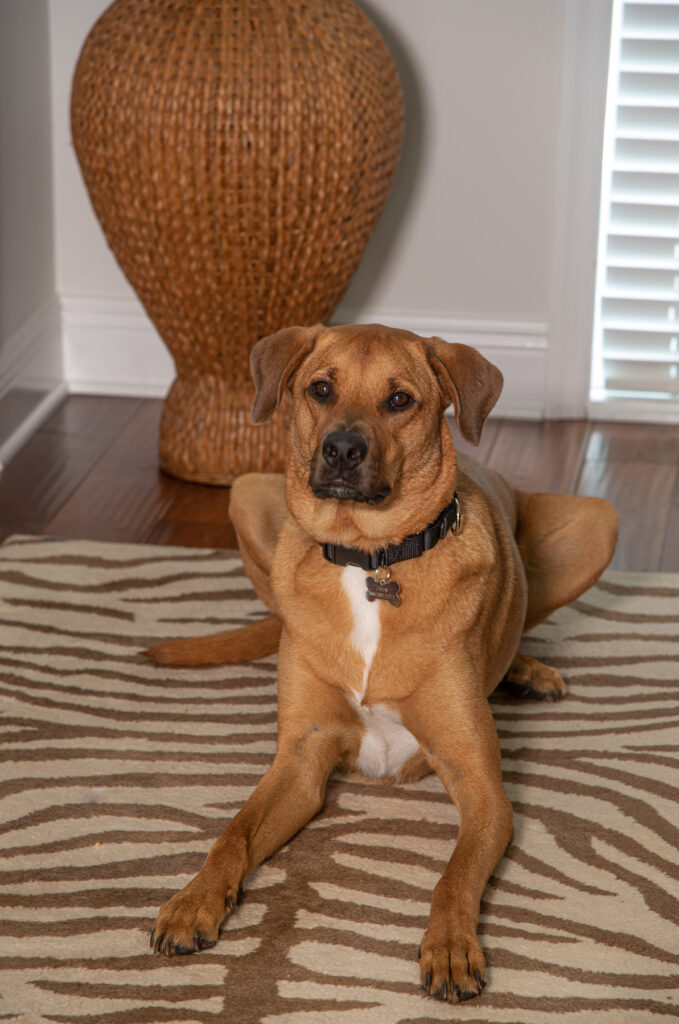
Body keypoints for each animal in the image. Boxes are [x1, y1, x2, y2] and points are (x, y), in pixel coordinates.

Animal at [146, 323, 618, 1003]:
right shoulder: (302, 761)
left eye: (400, 400)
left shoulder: (482, 786)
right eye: (321, 388)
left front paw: (449, 947)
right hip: (245, 492)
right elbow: (232, 833)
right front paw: (193, 900)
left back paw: (528, 670)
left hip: (600, 521)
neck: (370, 560)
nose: (342, 449)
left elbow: (453, 875)